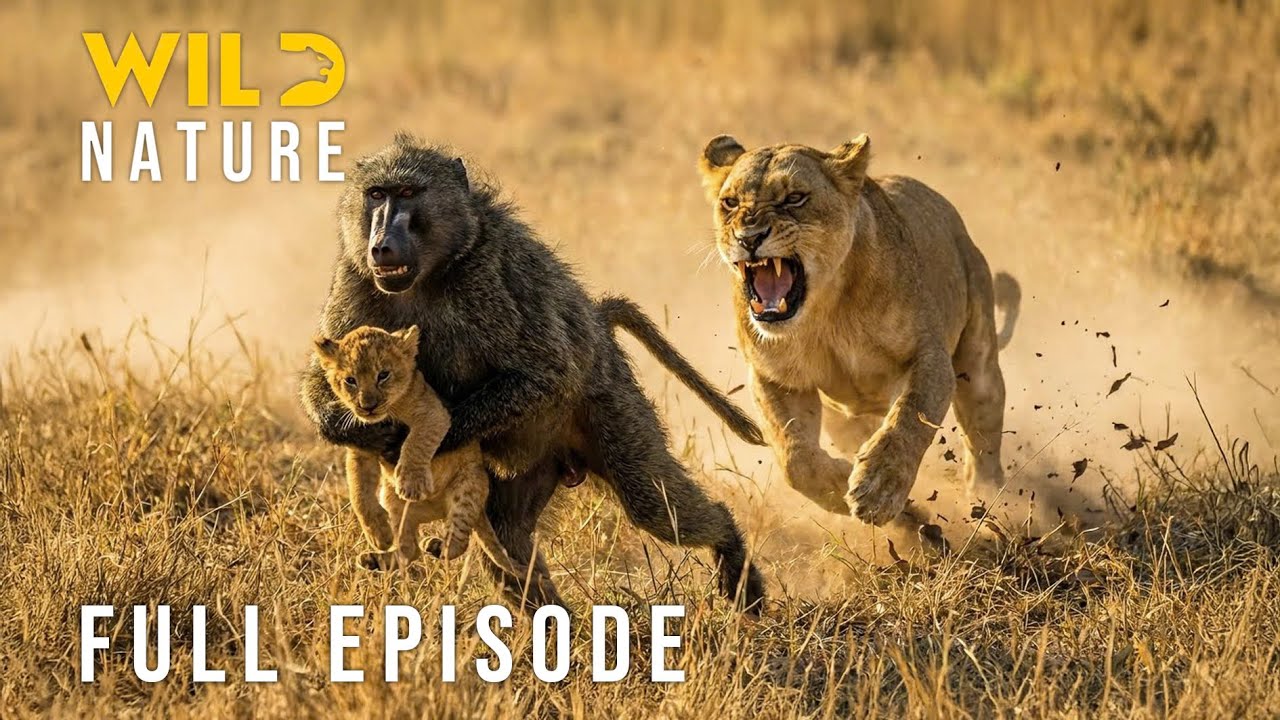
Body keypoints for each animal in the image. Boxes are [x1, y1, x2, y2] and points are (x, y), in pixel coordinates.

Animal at [697, 134, 1020, 526]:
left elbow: (909, 417)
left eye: (794, 198)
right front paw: (837, 484)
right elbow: (794, 457)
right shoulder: (776, 377)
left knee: (983, 434)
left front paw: (879, 488)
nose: (749, 237)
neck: (823, 313)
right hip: (843, 419)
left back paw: (991, 500)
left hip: (978, 358)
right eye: (730, 202)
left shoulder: (928, 355)